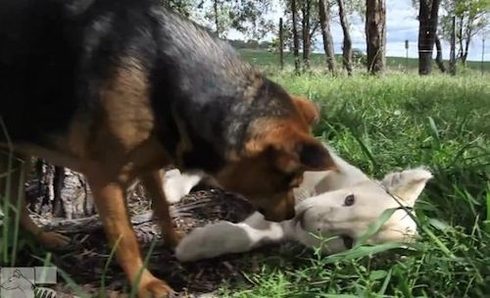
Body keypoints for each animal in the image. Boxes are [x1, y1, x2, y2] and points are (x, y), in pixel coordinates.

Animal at [0, 0, 334, 296]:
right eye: (290, 181)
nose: (292, 213)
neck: (165, 80)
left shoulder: (149, 164)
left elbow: (162, 208)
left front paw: (175, 241)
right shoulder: (104, 178)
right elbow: (125, 238)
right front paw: (144, 283)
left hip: (17, 154)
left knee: (14, 202)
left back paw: (43, 238)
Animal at [162, 148, 432, 262]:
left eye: (347, 242)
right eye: (349, 199)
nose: (305, 219)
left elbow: (251, 235)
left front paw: (194, 245)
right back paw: (170, 185)